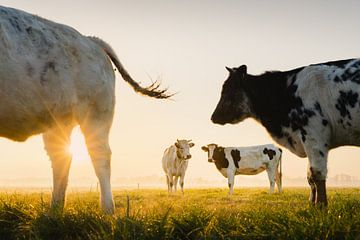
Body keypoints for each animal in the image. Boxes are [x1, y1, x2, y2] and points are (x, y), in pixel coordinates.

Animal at [0, 6, 171, 214]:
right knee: (61, 157)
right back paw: (54, 210)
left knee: (100, 155)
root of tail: (90, 39)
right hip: (59, 120)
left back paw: (107, 209)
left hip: (97, 113)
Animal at [212, 59, 360, 206]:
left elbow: (316, 174)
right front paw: (311, 204)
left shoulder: (314, 135)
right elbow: (309, 176)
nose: (213, 117)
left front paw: (320, 205)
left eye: (227, 90)